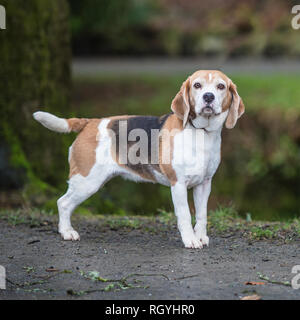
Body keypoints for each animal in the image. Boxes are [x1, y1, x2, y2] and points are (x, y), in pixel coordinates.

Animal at [33, 70, 244, 250]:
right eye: (197, 85)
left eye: (220, 86)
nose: (208, 97)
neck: (201, 132)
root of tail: (89, 122)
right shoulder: (178, 184)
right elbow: (185, 215)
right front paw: (190, 240)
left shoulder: (204, 184)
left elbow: (201, 215)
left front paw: (200, 237)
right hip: (87, 182)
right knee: (63, 203)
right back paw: (67, 232)